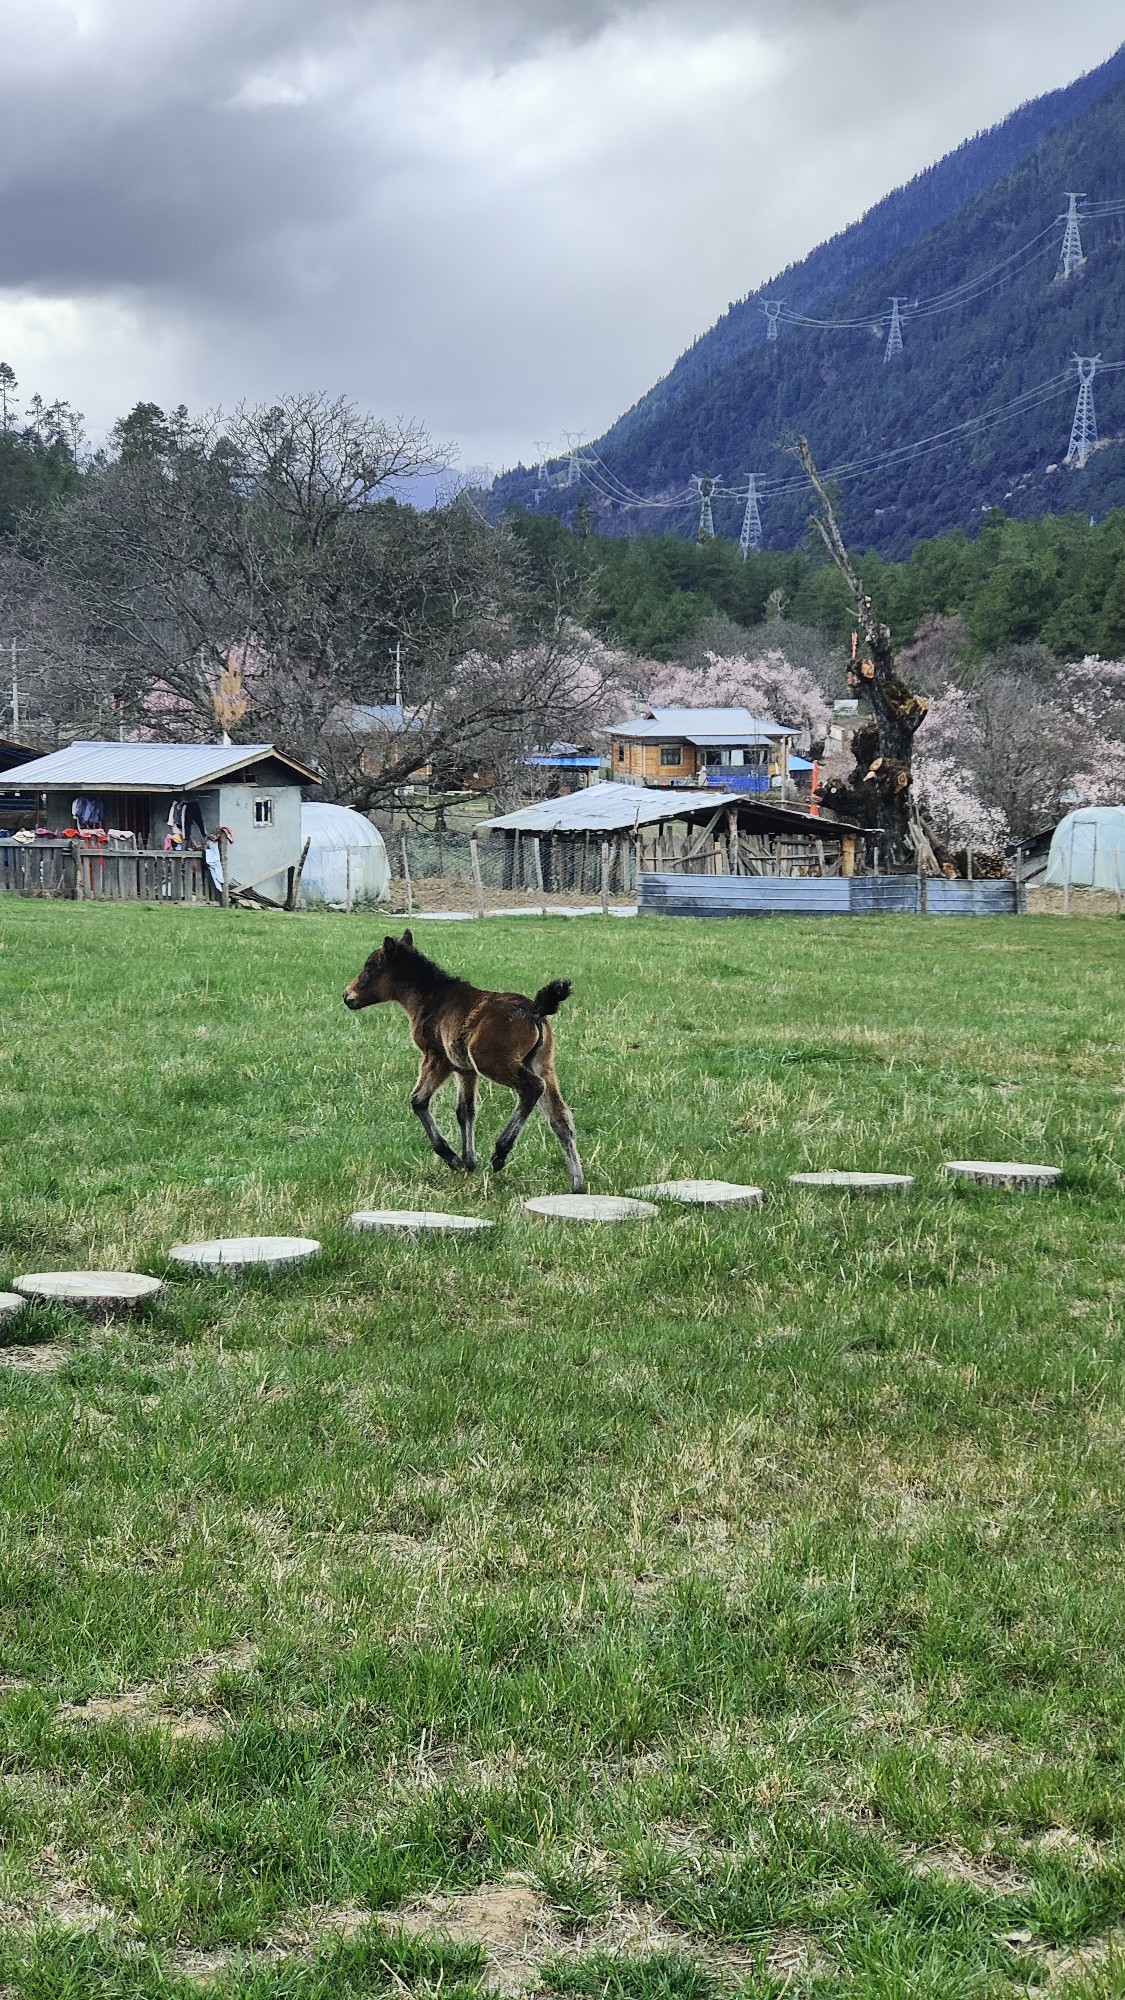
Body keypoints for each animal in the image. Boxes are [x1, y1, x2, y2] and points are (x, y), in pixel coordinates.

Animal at [340, 932, 588, 1192]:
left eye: (371, 968)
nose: (347, 997)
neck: (432, 999)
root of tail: (535, 1010)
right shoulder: (465, 1070)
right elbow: (465, 1111)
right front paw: (469, 1162)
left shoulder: (437, 1058)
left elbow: (418, 1101)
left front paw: (453, 1159)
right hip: (542, 1064)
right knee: (560, 1118)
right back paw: (577, 1184)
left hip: (494, 1063)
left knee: (532, 1088)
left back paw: (500, 1153)